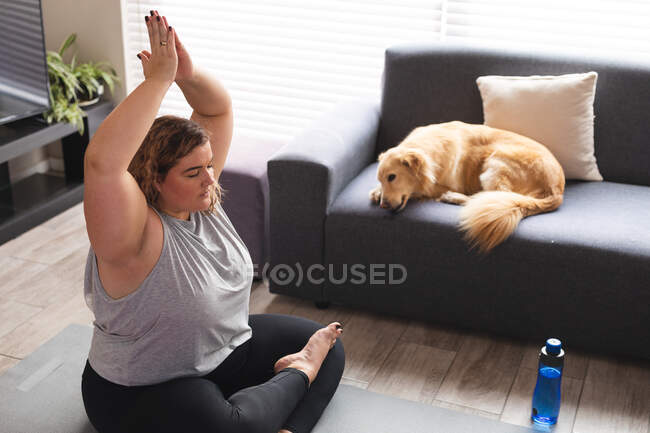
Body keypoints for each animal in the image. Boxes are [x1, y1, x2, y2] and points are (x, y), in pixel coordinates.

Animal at [370, 120, 560, 251]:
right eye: (381, 178)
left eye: (392, 177)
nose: (383, 206)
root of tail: (556, 191)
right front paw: (377, 191)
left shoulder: (441, 183)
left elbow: (426, 188)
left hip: (495, 163)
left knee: (489, 197)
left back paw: (452, 197)